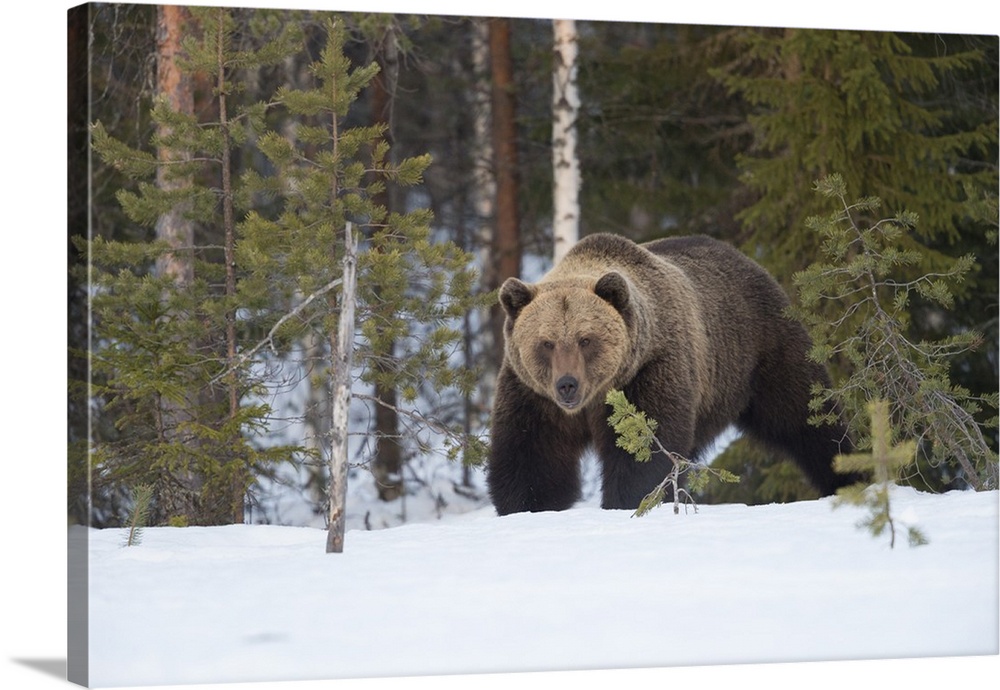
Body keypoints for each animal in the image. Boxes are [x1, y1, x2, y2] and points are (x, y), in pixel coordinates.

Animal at [484, 231, 852, 510]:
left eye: (585, 339)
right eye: (546, 342)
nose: (567, 385)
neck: (594, 399)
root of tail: (746, 259)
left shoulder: (650, 371)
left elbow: (643, 451)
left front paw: (629, 500)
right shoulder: (533, 395)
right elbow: (531, 457)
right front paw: (528, 505)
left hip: (761, 349)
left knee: (806, 415)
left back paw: (847, 474)